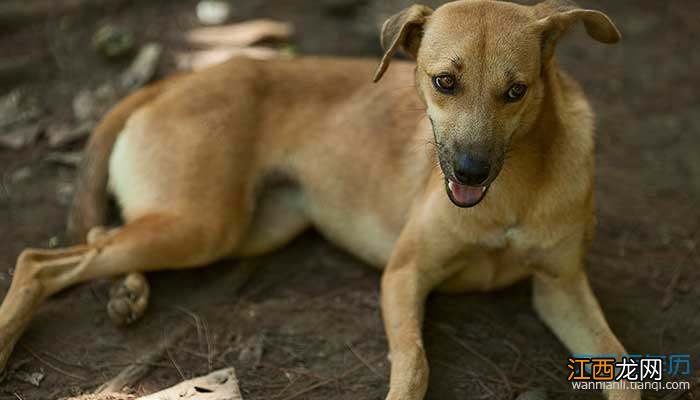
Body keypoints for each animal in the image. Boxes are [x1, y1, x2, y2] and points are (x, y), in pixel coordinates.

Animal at [0, 1, 636, 398]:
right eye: (444, 82)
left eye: (516, 91)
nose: (469, 171)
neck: (514, 189)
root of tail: (178, 79)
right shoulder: (404, 275)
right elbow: (414, 366)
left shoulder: (560, 288)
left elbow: (621, 369)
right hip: (201, 225)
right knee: (39, 260)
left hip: (240, 228)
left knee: (99, 238)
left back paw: (127, 289)